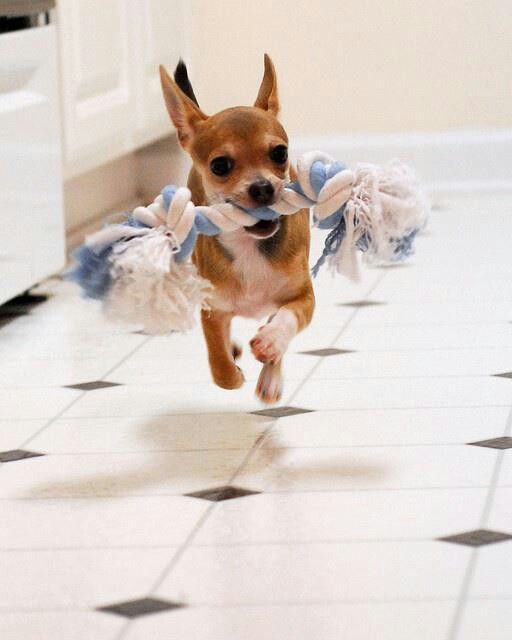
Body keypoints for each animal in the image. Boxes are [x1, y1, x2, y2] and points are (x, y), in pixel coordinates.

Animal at [158, 56, 314, 404]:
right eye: (220, 166)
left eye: (280, 153)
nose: (263, 187)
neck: (248, 245)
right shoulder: (213, 310)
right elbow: (220, 367)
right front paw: (231, 369)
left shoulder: (303, 297)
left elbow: (287, 319)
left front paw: (272, 343)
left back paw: (271, 373)